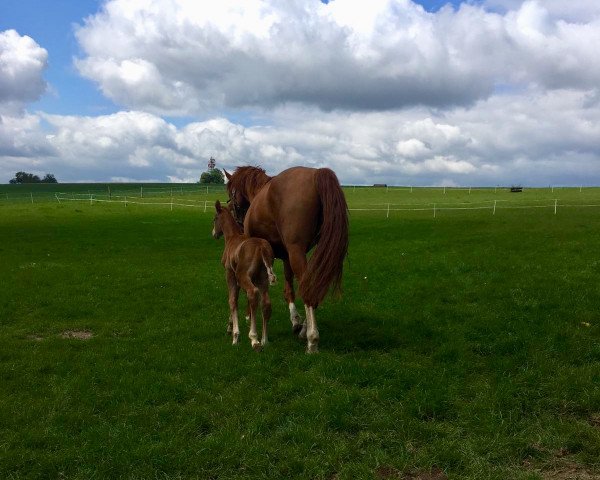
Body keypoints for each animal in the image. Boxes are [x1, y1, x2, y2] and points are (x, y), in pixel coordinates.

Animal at [212, 201, 276, 350]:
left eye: (214, 219)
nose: (214, 234)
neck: (232, 237)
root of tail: (261, 247)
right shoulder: (241, 279)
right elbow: (236, 298)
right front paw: (230, 327)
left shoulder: (230, 274)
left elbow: (232, 300)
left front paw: (235, 335)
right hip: (262, 279)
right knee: (265, 302)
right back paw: (264, 340)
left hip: (244, 277)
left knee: (253, 293)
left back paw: (254, 338)